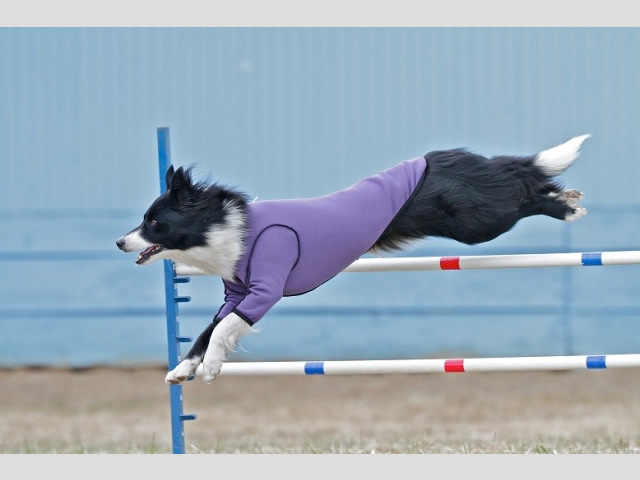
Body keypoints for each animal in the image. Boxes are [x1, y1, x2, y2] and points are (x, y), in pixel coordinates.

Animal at [116, 133, 592, 384]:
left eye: (153, 222)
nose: (120, 242)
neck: (224, 226)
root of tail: (455, 157)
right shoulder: (236, 293)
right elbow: (206, 329)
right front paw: (181, 369)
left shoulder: (264, 288)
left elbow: (223, 329)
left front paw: (212, 366)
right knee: (522, 178)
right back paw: (566, 195)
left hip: (479, 222)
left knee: (524, 188)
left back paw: (566, 206)